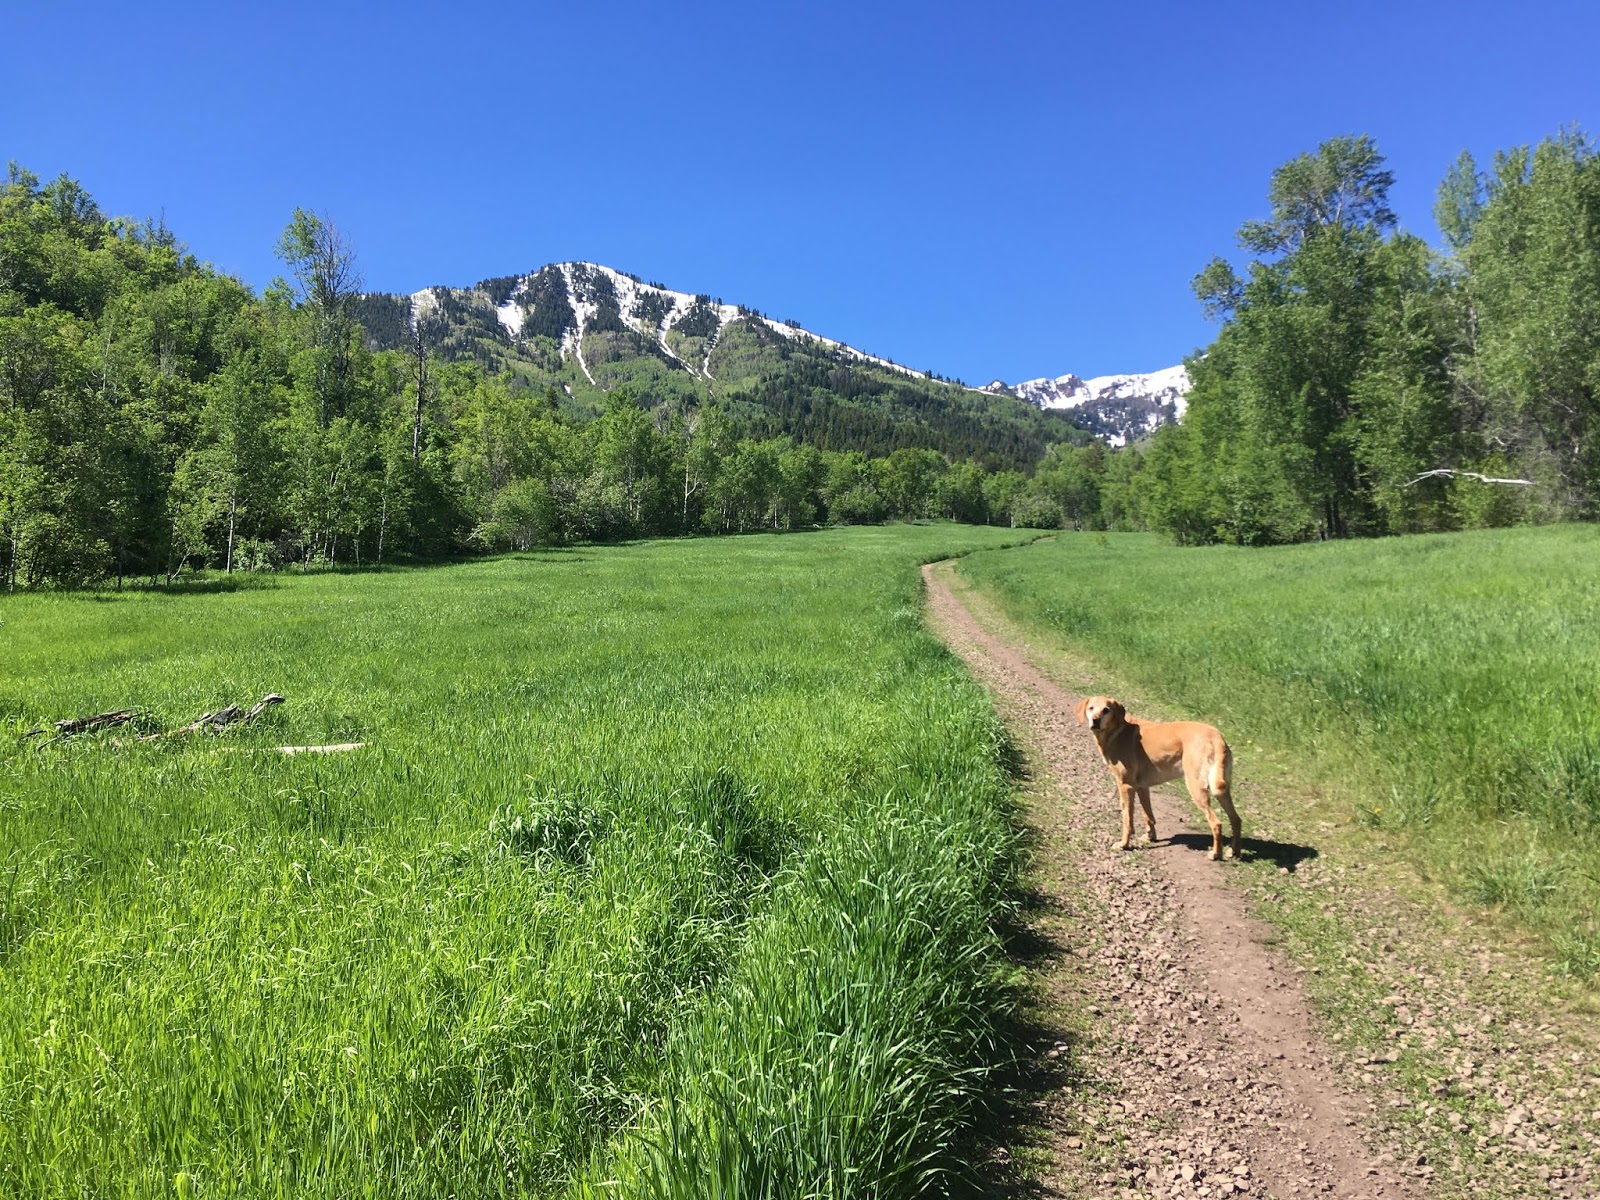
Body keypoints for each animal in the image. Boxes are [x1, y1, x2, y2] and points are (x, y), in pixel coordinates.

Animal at [1075, 694, 1235, 864]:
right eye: (1091, 708)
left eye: (1106, 710)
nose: (1095, 720)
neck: (1117, 731)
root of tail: (1216, 736)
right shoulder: (1142, 787)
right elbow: (1148, 815)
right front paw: (1149, 837)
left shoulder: (1125, 786)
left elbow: (1127, 820)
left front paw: (1124, 844)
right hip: (1223, 790)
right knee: (1236, 820)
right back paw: (1233, 851)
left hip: (1197, 788)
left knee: (1216, 823)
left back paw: (1216, 854)